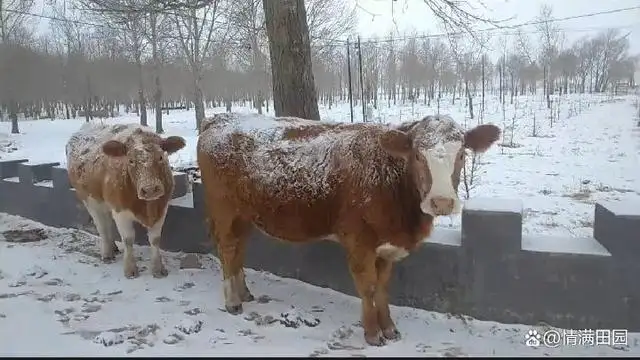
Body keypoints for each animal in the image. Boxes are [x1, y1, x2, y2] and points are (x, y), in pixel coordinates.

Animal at [65, 123, 185, 278]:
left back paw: (113, 247)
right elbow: (128, 239)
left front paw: (158, 268)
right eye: (131, 160)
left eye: (160, 157)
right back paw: (107, 253)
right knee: (102, 227)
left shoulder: (161, 208)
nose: (150, 189)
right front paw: (130, 269)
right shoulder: (120, 210)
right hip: (90, 200)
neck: (147, 207)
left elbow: (155, 239)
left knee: (107, 224)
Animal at [195, 112, 500, 346]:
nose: (442, 202)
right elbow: (368, 287)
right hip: (224, 210)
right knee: (227, 250)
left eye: (462, 154)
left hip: (244, 215)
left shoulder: (386, 247)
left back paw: (244, 292)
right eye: (416, 155)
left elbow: (382, 288)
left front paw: (390, 328)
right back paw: (233, 301)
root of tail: (219, 118)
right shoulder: (359, 241)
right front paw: (373, 333)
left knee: (239, 250)